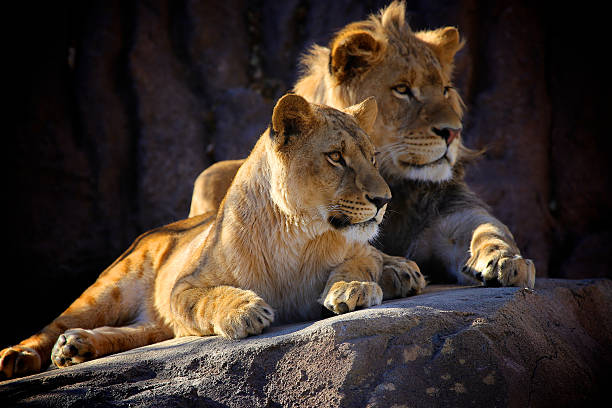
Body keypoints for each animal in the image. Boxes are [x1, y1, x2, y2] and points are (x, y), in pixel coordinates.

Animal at [1, 93, 420, 380]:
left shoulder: (359, 250)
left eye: (372, 157)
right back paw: (30, 354)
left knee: (143, 331)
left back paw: (78, 346)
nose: (383, 200)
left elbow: (362, 262)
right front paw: (243, 311)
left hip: (151, 319)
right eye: (335, 156)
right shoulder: (184, 286)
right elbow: (206, 299)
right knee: (55, 325)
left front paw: (353, 288)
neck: (298, 234)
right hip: (111, 287)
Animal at [190, 2, 536, 290]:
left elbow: (490, 229)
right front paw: (392, 268)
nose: (452, 132)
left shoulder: (453, 213)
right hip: (209, 176)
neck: (398, 183)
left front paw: (506, 260)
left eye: (445, 90)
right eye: (402, 89)